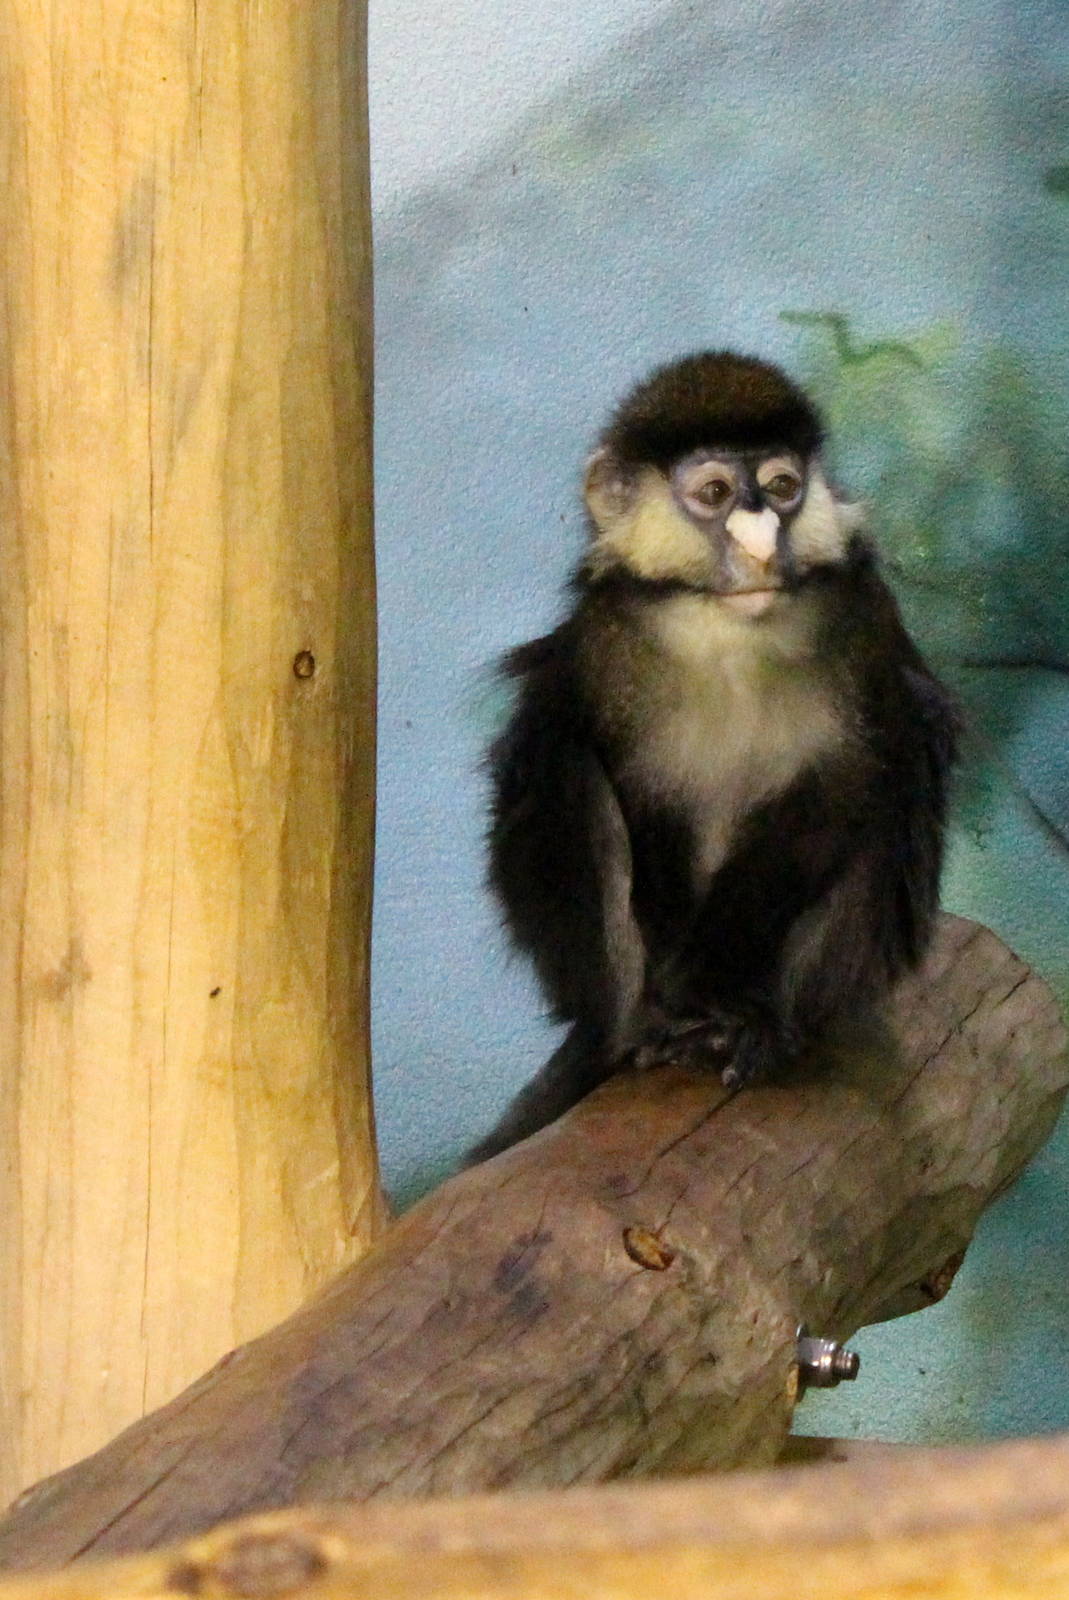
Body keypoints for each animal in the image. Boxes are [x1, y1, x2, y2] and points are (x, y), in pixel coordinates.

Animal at [468, 350, 958, 1164]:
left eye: (783, 488)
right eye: (715, 494)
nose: (760, 542)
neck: (726, 631)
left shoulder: (863, 619)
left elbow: (846, 783)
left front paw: (724, 994)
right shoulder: (609, 644)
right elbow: (628, 786)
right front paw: (679, 995)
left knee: (905, 759)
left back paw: (766, 1025)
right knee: (558, 757)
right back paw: (637, 1027)